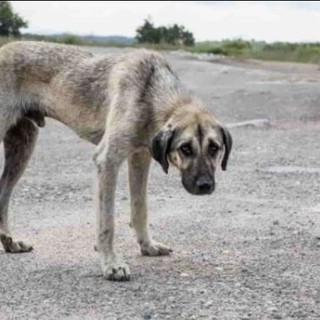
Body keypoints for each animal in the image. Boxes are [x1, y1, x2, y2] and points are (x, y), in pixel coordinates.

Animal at [0, 41, 231, 282]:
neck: (151, 91)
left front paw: (147, 246)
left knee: (3, 192)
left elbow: (140, 209)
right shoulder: (107, 160)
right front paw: (111, 263)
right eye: (185, 148)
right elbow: (107, 223)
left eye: (214, 148)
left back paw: (9, 241)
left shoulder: (140, 158)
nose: (205, 186)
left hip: (22, 147)